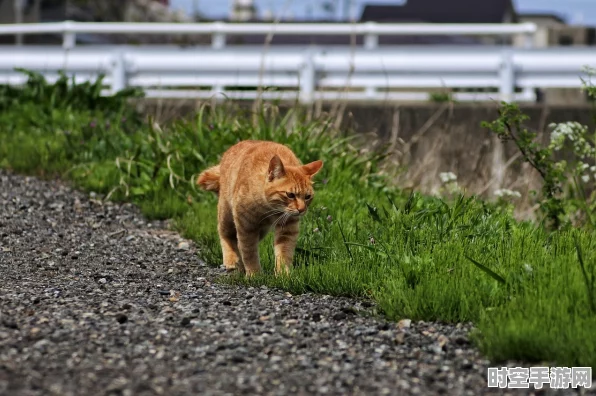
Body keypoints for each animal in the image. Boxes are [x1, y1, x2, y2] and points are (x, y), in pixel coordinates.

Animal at [198, 141, 324, 276]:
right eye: (290, 195)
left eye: (307, 197)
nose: (301, 209)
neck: (270, 209)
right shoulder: (246, 227)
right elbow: (249, 252)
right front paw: (254, 274)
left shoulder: (288, 228)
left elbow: (284, 252)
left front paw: (283, 274)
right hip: (226, 214)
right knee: (226, 235)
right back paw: (232, 260)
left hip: (261, 230)